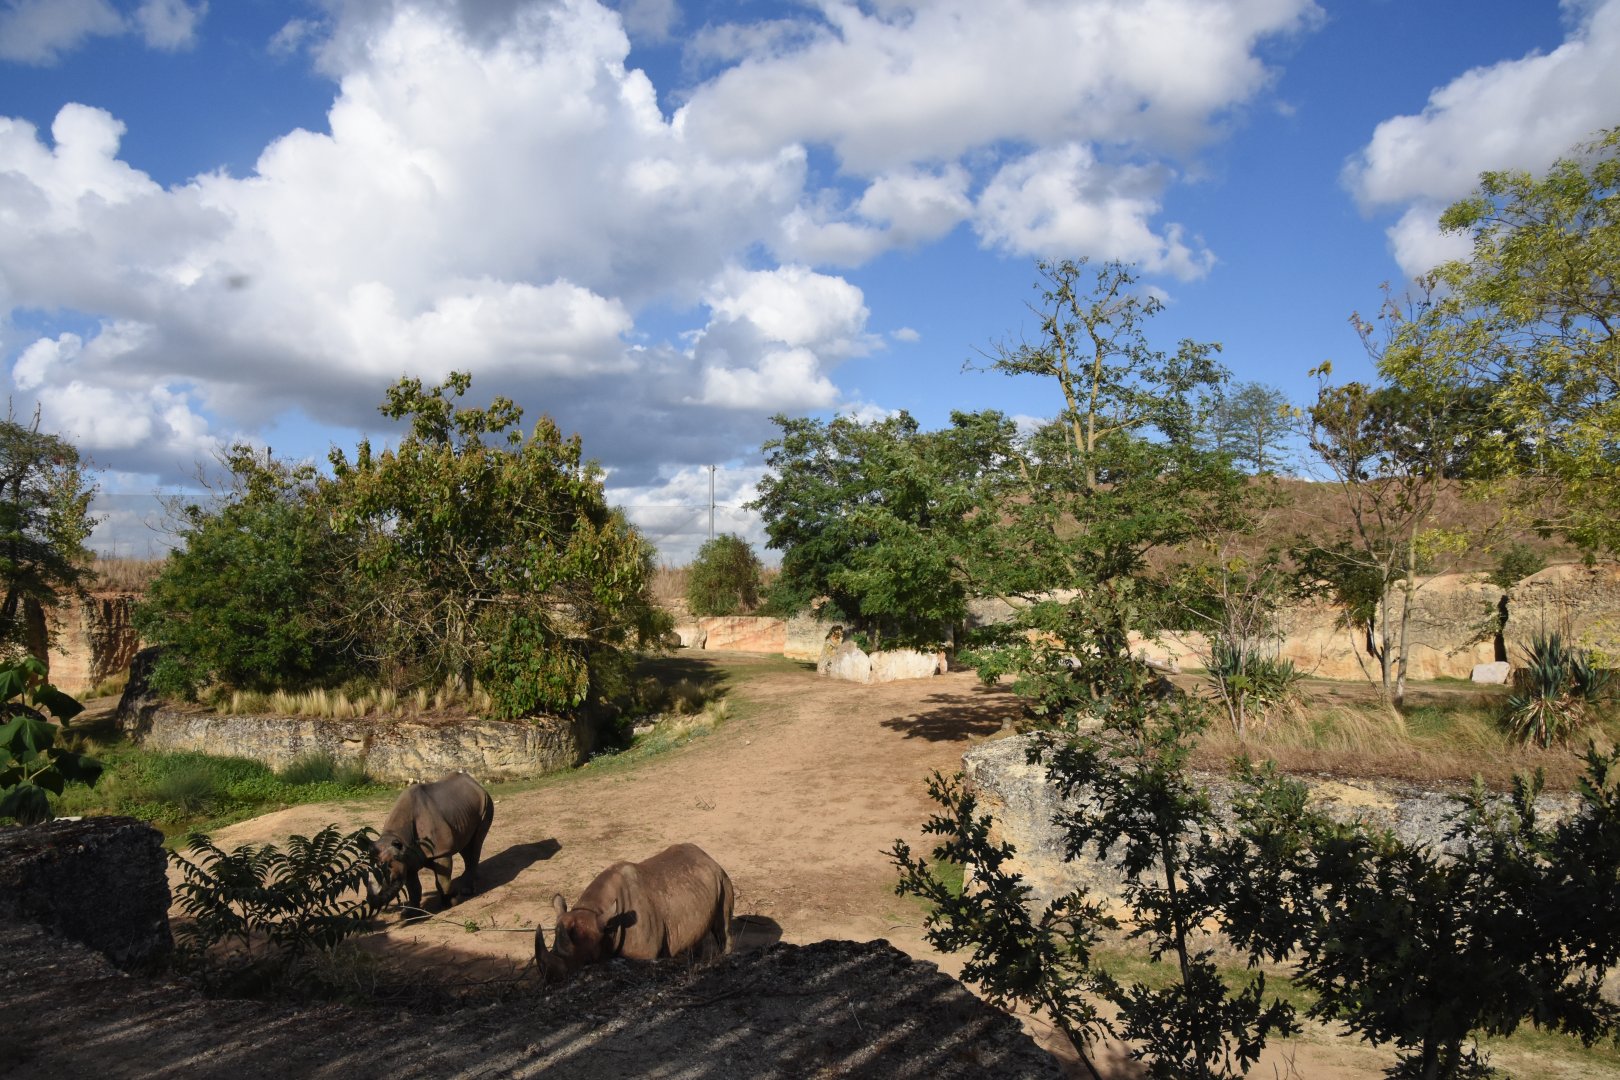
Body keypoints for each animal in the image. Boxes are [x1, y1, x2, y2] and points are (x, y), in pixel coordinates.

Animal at [367, 771, 494, 912]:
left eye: (391, 878)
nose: (372, 902)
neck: (398, 837)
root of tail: (475, 784)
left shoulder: (440, 852)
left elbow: (442, 881)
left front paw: (451, 903)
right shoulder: (407, 858)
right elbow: (413, 888)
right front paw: (411, 912)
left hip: (486, 802)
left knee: (475, 844)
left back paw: (467, 891)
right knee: (466, 846)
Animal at [537, 842, 734, 980]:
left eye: (586, 963)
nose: (550, 981)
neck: (596, 914)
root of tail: (708, 857)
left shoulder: (643, 953)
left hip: (723, 878)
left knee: (722, 927)